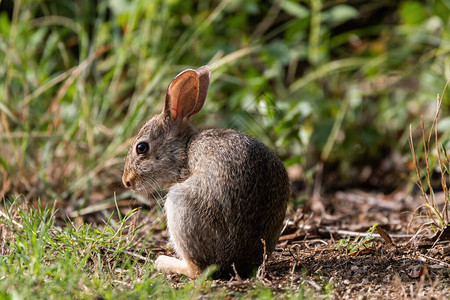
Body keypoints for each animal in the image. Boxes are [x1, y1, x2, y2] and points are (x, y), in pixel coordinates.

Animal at [123, 65, 290, 278]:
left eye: (141, 148)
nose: (126, 181)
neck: (185, 150)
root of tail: (232, 261)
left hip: (179, 206)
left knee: (197, 270)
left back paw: (163, 262)